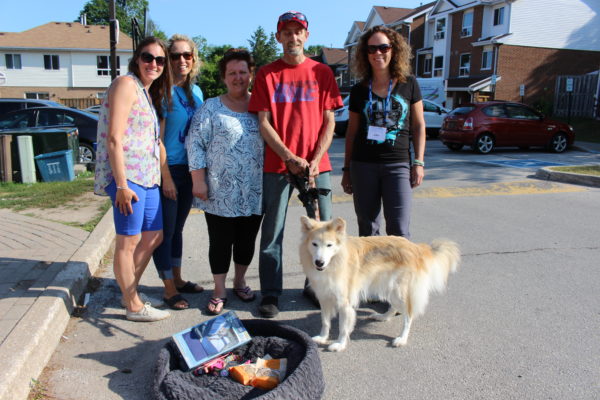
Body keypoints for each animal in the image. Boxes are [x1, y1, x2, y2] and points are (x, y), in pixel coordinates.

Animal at [300, 217, 460, 352]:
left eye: (329, 245)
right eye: (314, 244)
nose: (319, 262)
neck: (335, 260)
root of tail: (415, 247)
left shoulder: (344, 302)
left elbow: (343, 327)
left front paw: (339, 344)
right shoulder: (324, 298)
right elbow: (325, 321)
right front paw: (322, 337)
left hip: (400, 290)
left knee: (408, 315)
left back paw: (401, 339)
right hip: (389, 286)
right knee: (394, 307)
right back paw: (383, 317)